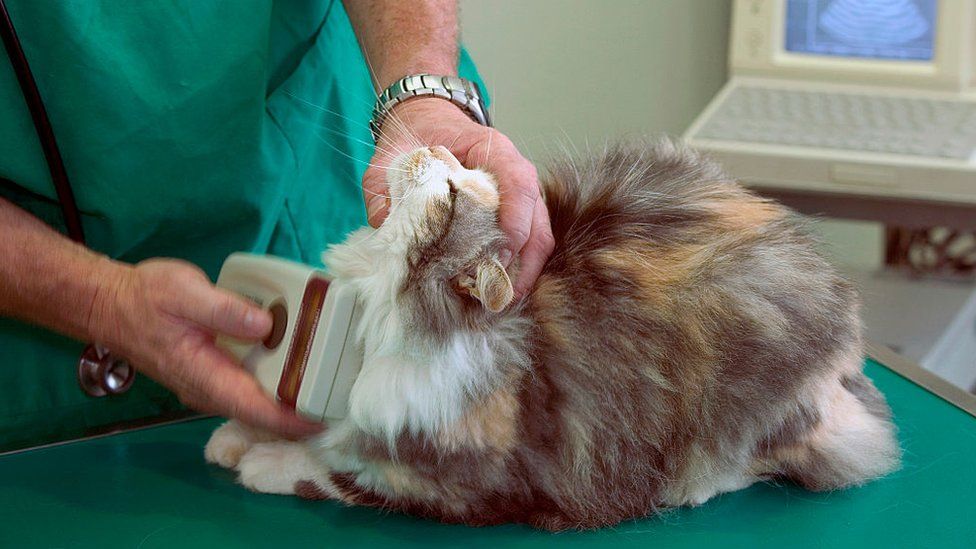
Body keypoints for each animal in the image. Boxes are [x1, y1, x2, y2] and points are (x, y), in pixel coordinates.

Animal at [206, 139, 900, 528]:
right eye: (461, 170)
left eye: (450, 192)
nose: (429, 151)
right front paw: (233, 437)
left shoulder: (459, 482)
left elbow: (334, 475)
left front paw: (262, 464)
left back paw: (695, 486)